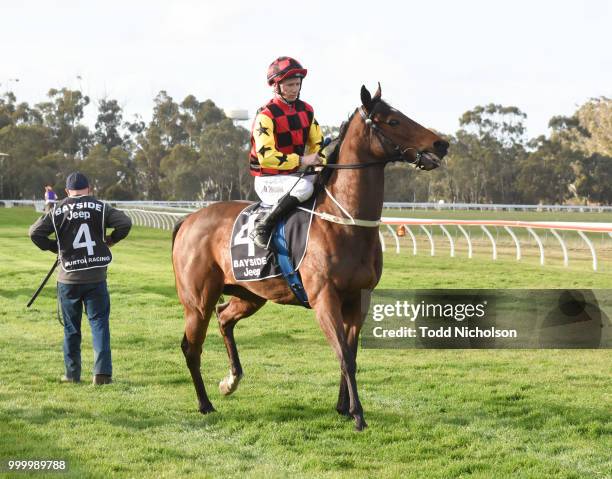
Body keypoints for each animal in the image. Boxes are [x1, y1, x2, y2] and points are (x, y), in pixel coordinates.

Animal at [172, 84, 450, 434]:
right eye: (392, 121)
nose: (441, 144)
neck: (345, 222)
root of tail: (188, 220)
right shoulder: (324, 298)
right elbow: (344, 355)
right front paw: (358, 415)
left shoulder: (358, 299)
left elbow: (351, 355)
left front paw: (343, 407)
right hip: (198, 301)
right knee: (191, 347)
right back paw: (205, 403)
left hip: (251, 294)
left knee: (224, 318)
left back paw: (230, 380)